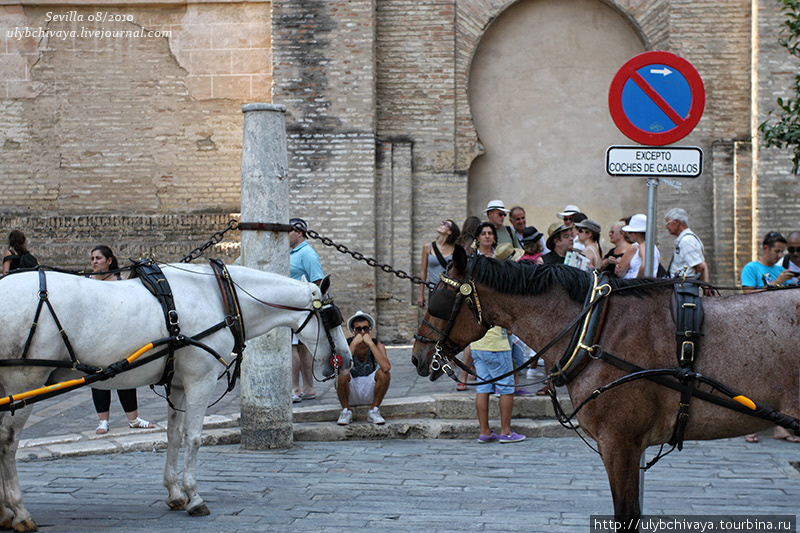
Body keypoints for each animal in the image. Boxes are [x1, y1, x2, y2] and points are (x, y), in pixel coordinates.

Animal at [0, 262, 354, 532]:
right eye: (332, 318)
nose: (348, 361)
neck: (223, 298)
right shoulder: (201, 380)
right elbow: (194, 438)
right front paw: (195, 497)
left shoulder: (180, 385)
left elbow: (173, 435)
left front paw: (174, 493)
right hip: (23, 382)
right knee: (8, 443)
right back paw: (19, 512)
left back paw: (5, 511)